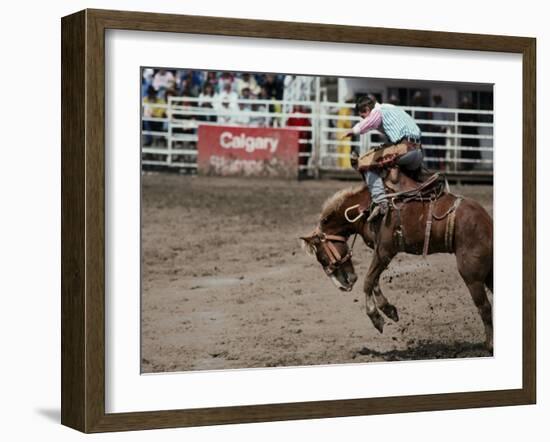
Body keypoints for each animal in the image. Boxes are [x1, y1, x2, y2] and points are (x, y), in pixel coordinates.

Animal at [302, 171, 496, 350]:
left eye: (321, 257)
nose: (344, 285)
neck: (365, 209)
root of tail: (487, 222)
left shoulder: (384, 251)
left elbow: (368, 281)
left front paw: (376, 317)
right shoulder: (380, 253)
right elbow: (374, 280)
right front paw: (388, 309)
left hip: (472, 275)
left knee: (485, 307)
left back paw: (490, 344)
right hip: (488, 273)